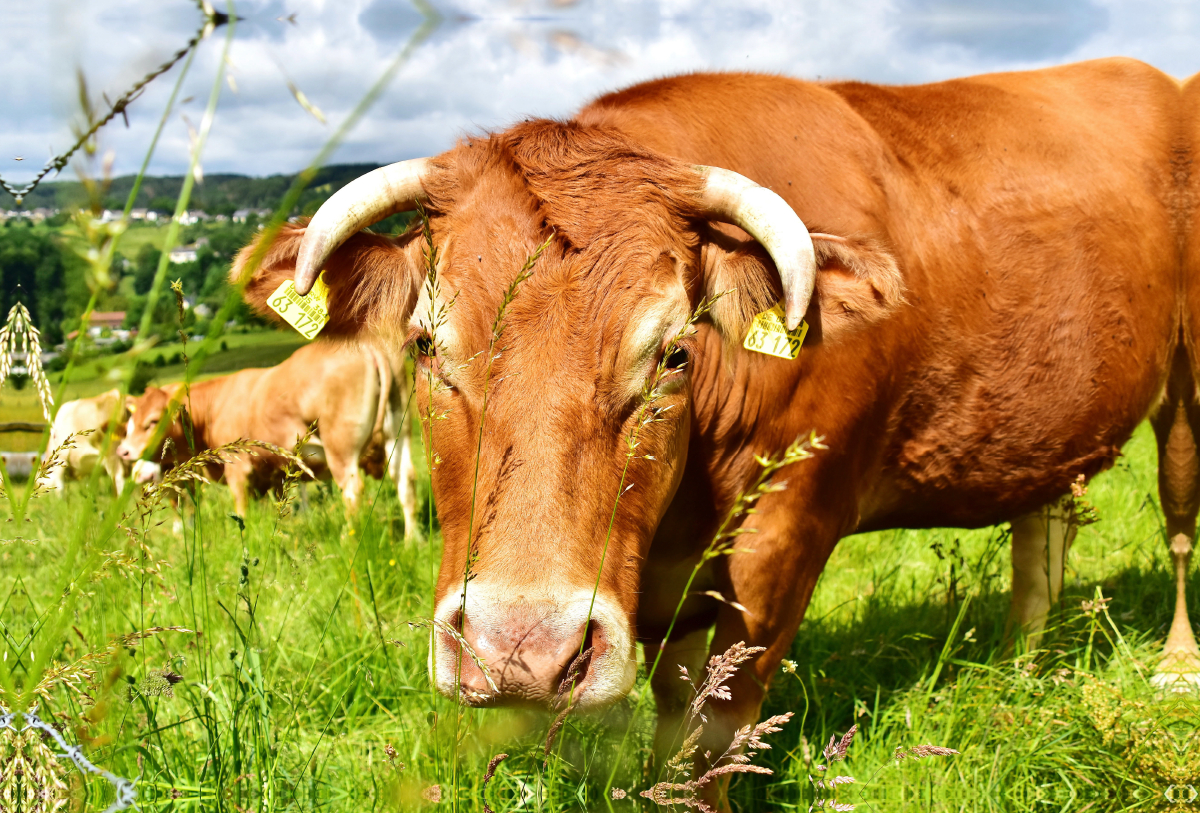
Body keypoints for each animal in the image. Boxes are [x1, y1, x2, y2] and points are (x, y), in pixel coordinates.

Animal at [117, 338, 417, 522]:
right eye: (130, 422)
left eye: (153, 421)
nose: (124, 451)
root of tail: (367, 344)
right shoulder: (271, 476)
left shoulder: (238, 470)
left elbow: (242, 512)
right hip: (398, 433)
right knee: (406, 482)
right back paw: (412, 542)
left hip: (340, 448)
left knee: (353, 491)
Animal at [231, 59, 1190, 791]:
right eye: (427, 343)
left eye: (673, 352)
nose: (521, 652)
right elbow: (672, 707)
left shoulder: (785, 532)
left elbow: (715, 727)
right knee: (1043, 536)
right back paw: (1023, 662)